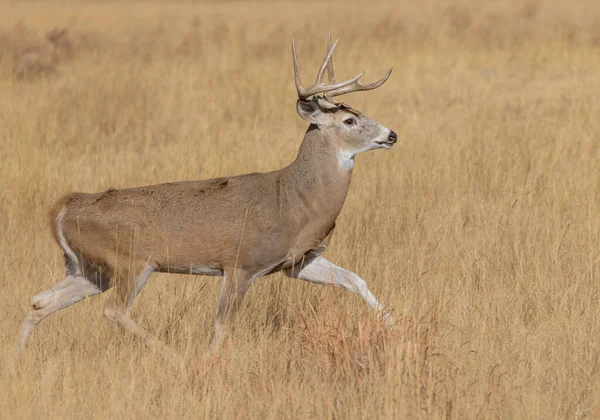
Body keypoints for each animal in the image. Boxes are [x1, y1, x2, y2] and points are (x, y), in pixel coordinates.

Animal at [14, 34, 398, 360]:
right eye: (349, 120)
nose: (391, 134)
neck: (294, 200)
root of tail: (63, 209)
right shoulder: (241, 264)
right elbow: (222, 327)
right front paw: (208, 365)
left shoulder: (296, 261)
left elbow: (355, 279)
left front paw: (393, 323)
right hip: (131, 261)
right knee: (113, 310)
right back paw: (173, 357)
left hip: (89, 268)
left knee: (40, 302)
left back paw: (17, 359)